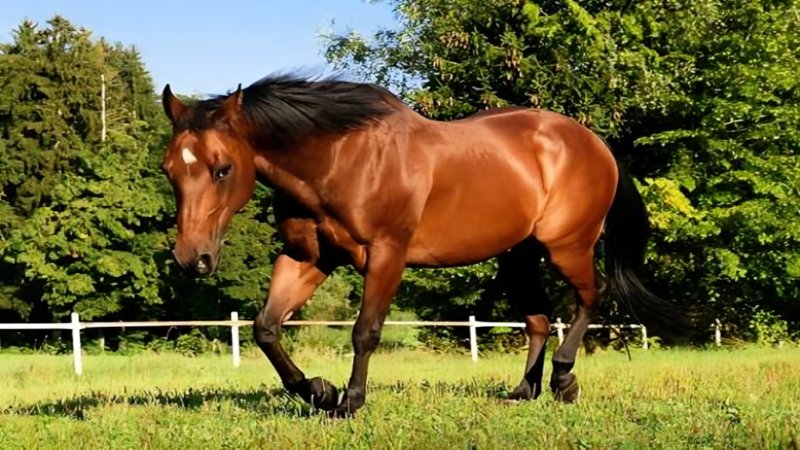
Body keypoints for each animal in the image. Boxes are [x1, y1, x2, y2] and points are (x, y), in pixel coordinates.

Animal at [160, 74, 680, 417]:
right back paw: (523, 391)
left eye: (222, 168)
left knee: (591, 297)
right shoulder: (307, 259)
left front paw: (350, 401)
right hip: (518, 255)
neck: (340, 158)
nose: (192, 258)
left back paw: (564, 379)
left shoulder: (387, 255)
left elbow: (365, 331)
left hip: (567, 246)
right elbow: (266, 328)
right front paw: (319, 392)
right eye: (169, 169)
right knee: (537, 319)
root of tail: (595, 144)